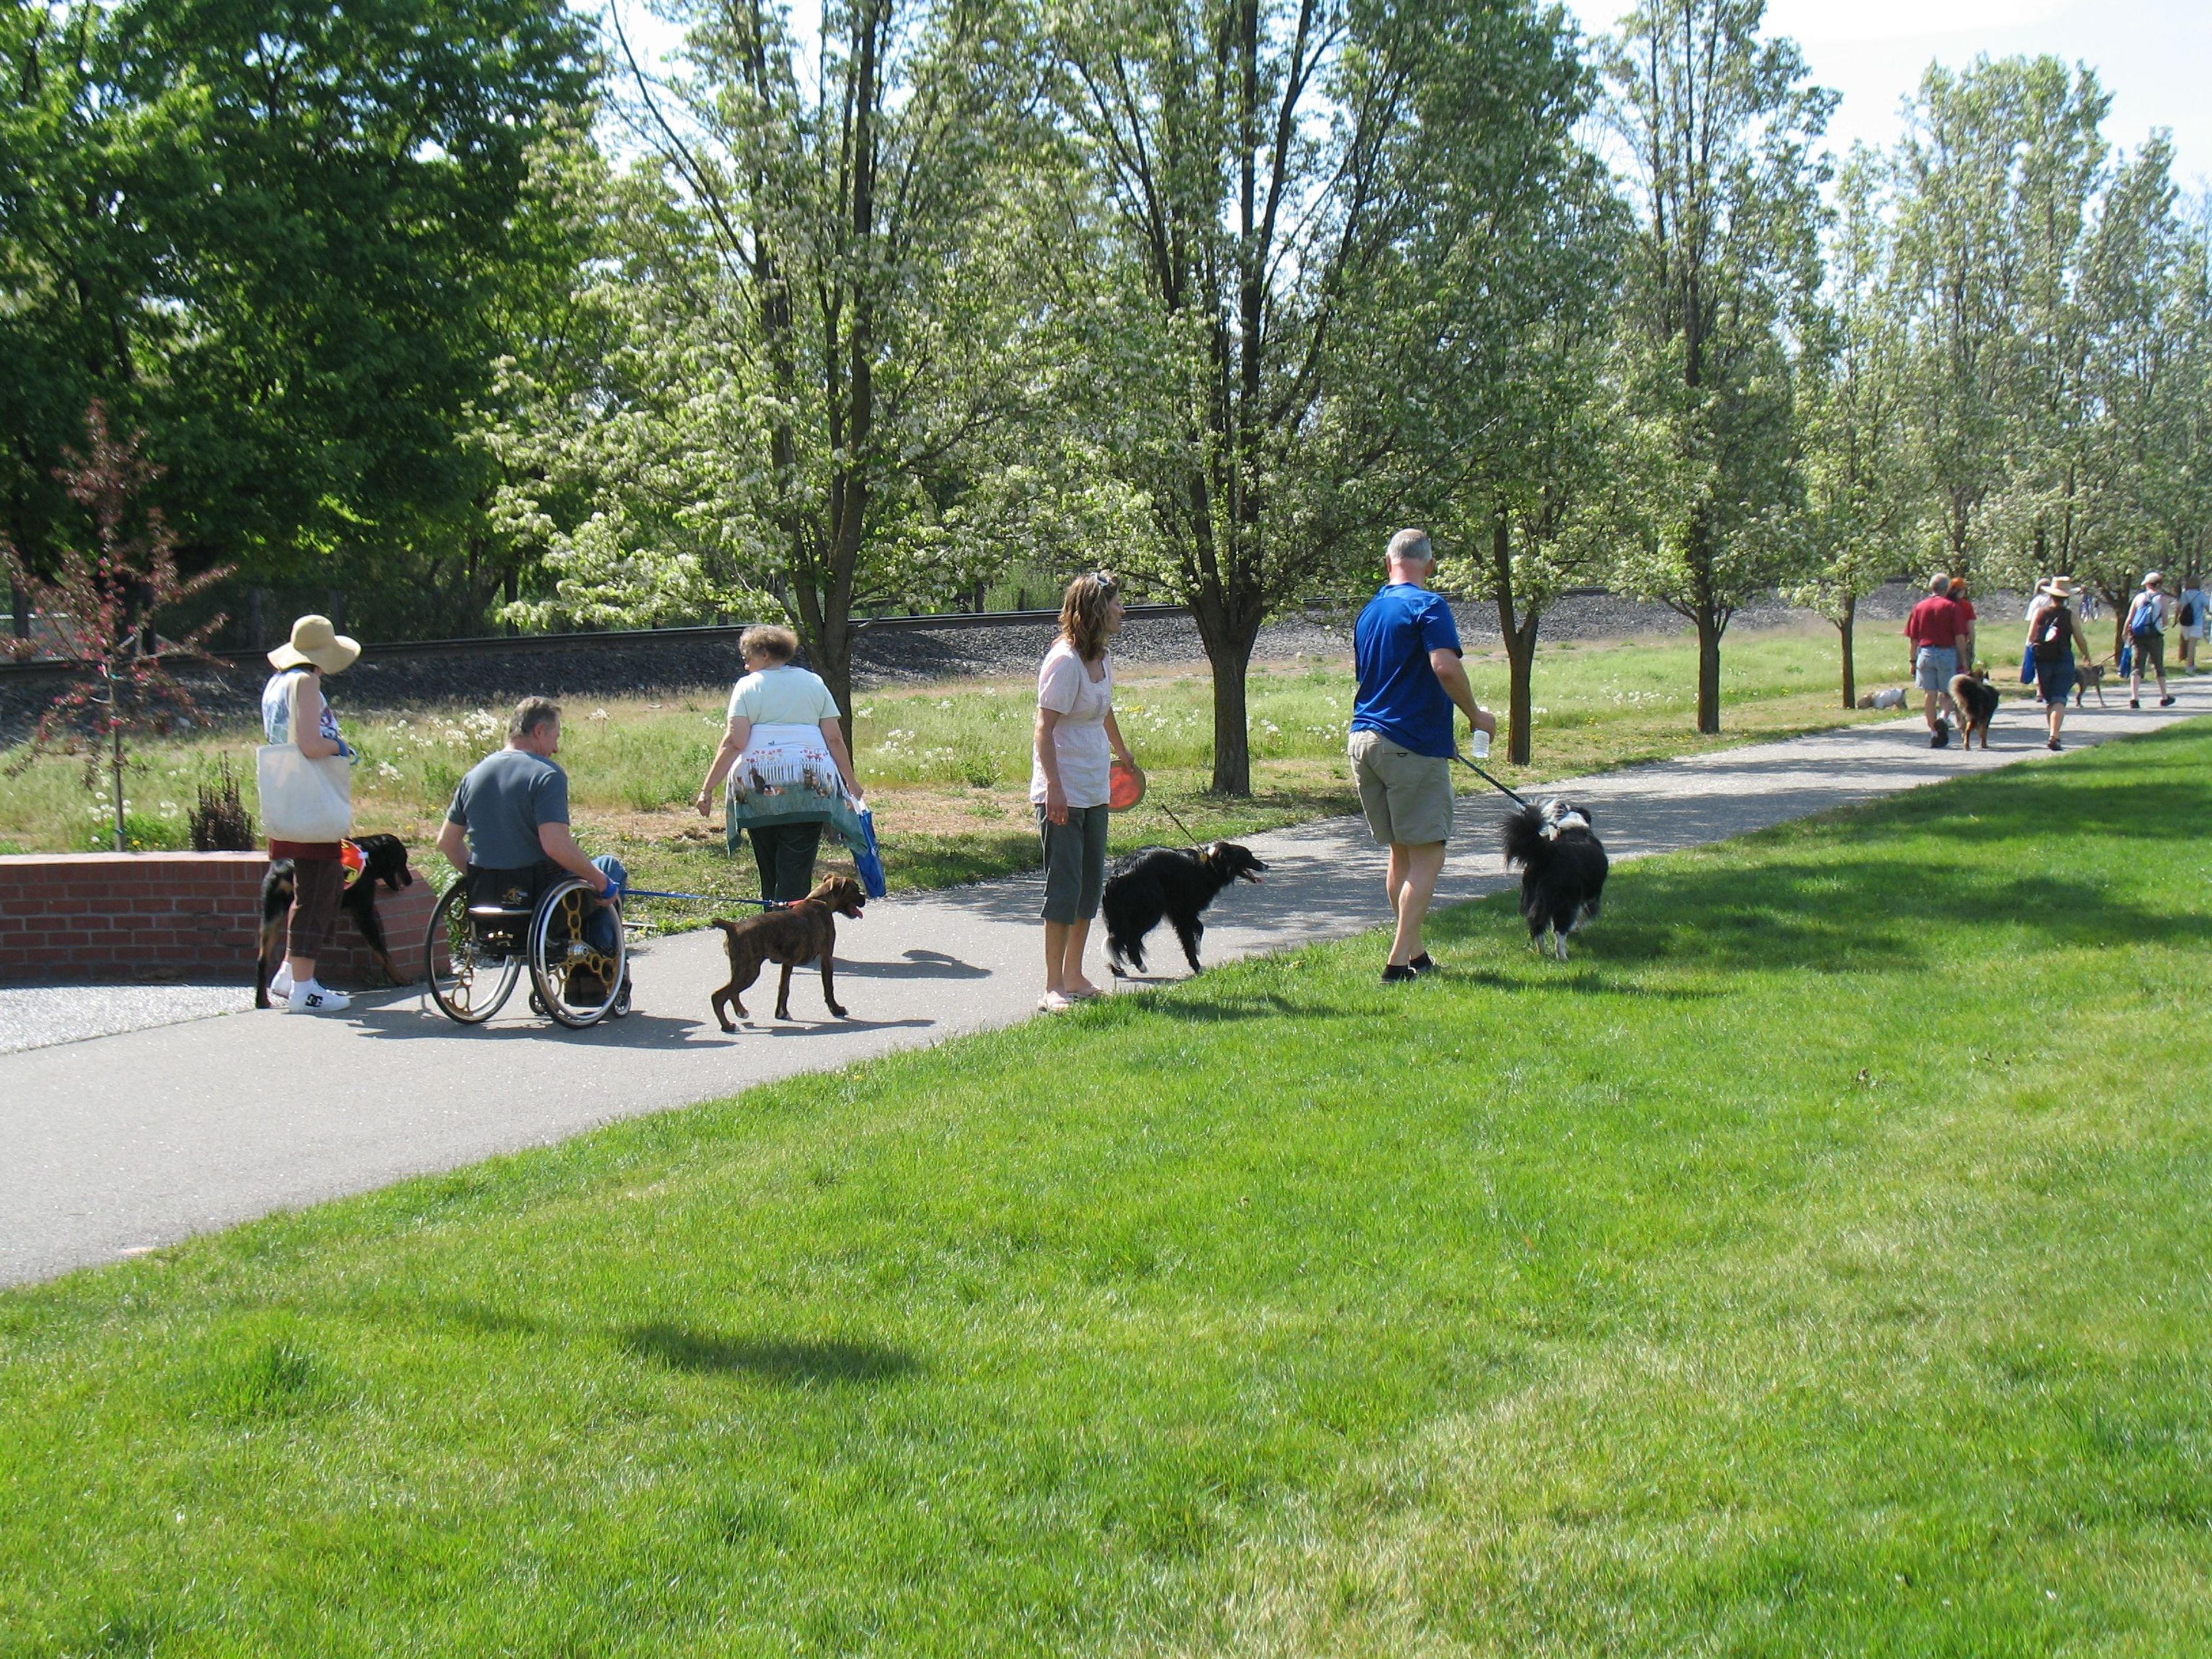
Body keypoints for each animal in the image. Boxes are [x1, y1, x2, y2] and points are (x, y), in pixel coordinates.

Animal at [256, 836, 415, 1009]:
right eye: (402, 860)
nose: (410, 881)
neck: (369, 855)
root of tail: (284, 867)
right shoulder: (364, 913)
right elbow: (382, 951)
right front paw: (400, 979)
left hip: (271, 917)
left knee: (263, 959)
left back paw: (262, 1000)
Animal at [707, 876, 862, 1035]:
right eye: (856, 890)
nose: (863, 899)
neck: (821, 900)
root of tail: (733, 927)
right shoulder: (826, 956)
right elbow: (829, 987)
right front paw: (837, 1010)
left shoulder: (788, 963)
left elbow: (783, 988)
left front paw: (781, 1013)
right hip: (749, 971)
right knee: (718, 996)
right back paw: (728, 1026)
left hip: (741, 969)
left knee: (732, 992)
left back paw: (741, 1012)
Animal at [1504, 801, 1610, 960]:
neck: (1573, 827)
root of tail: (1549, 853)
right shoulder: (1590, 895)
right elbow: (1584, 915)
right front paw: (1575, 930)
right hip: (1565, 900)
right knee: (1559, 929)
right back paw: (1562, 956)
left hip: (1532, 895)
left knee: (1536, 922)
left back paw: (1542, 951)